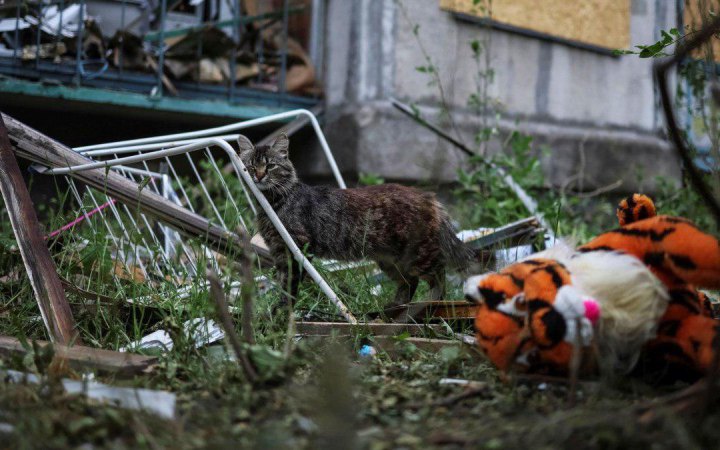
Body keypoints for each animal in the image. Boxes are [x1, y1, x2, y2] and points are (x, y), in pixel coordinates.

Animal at [238, 134, 472, 308]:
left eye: (270, 166)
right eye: (250, 166)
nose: (259, 176)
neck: (271, 202)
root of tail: (429, 197)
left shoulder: (297, 248)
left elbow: (289, 288)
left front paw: (281, 314)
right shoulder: (279, 251)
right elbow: (283, 284)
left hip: (419, 254)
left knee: (440, 275)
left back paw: (429, 303)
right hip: (390, 260)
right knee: (410, 281)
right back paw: (395, 307)